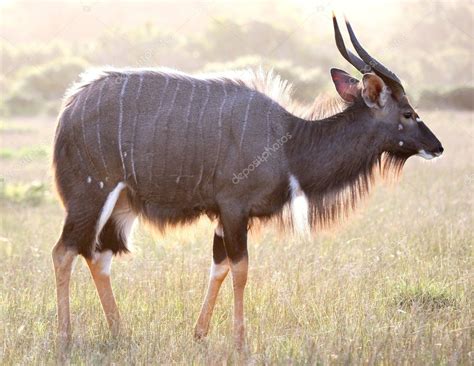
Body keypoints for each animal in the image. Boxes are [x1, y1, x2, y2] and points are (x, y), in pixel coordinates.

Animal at [52, 15, 444, 348]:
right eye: (408, 113)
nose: (437, 147)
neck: (288, 143)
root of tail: (69, 109)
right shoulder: (234, 209)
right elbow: (240, 269)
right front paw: (240, 342)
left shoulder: (225, 217)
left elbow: (219, 267)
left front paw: (200, 334)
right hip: (90, 195)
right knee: (64, 252)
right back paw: (65, 338)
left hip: (120, 205)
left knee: (98, 256)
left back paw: (120, 332)